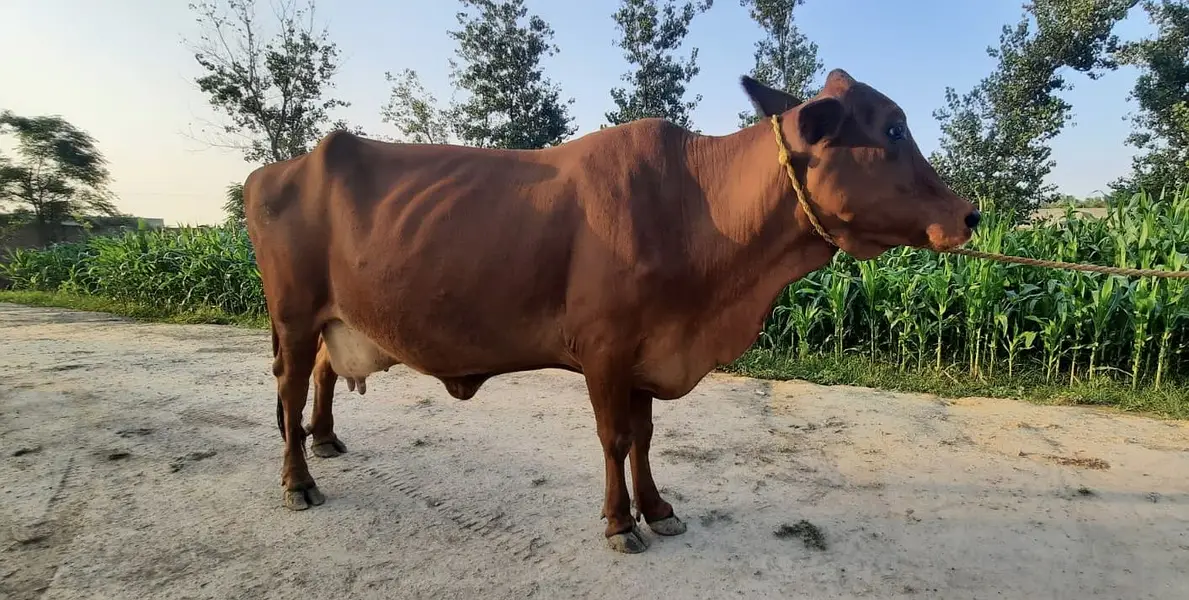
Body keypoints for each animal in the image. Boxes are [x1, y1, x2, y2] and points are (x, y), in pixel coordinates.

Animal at [244, 69, 980, 554]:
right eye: (892, 127)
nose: (969, 215)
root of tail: (276, 169)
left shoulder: (649, 350)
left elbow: (646, 436)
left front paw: (657, 508)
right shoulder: (604, 349)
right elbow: (615, 437)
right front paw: (620, 522)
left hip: (332, 318)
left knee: (320, 377)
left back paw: (324, 441)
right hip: (294, 315)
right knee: (289, 387)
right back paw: (297, 481)